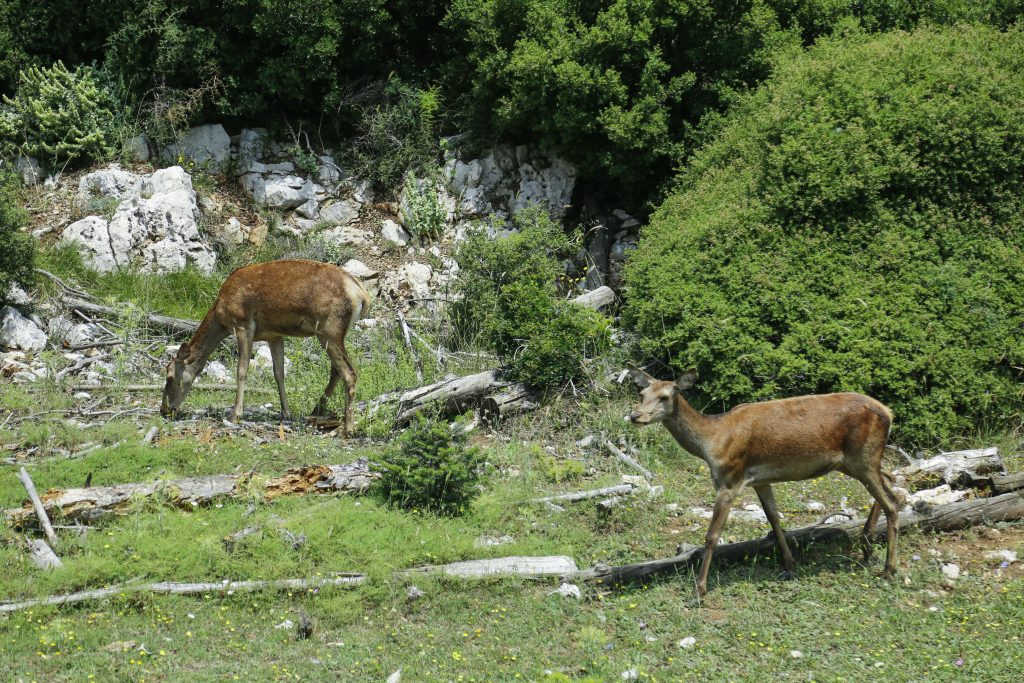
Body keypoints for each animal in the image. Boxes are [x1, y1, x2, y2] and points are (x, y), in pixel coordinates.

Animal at [165, 259, 374, 436]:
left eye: (169, 377)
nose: (164, 409)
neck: (220, 315)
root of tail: (362, 294)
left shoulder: (242, 325)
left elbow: (241, 370)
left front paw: (235, 415)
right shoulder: (274, 335)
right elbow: (279, 373)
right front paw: (286, 413)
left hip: (328, 328)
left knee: (349, 372)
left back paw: (347, 429)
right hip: (333, 333)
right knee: (336, 370)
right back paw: (317, 411)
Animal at [622, 368, 897, 598]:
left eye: (665, 396)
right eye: (642, 393)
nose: (635, 416)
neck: (712, 442)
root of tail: (889, 412)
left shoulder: (730, 479)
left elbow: (712, 535)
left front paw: (698, 590)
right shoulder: (760, 480)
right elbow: (774, 519)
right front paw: (789, 565)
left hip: (863, 457)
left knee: (892, 502)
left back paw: (888, 569)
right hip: (858, 463)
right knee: (893, 482)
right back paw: (867, 544)